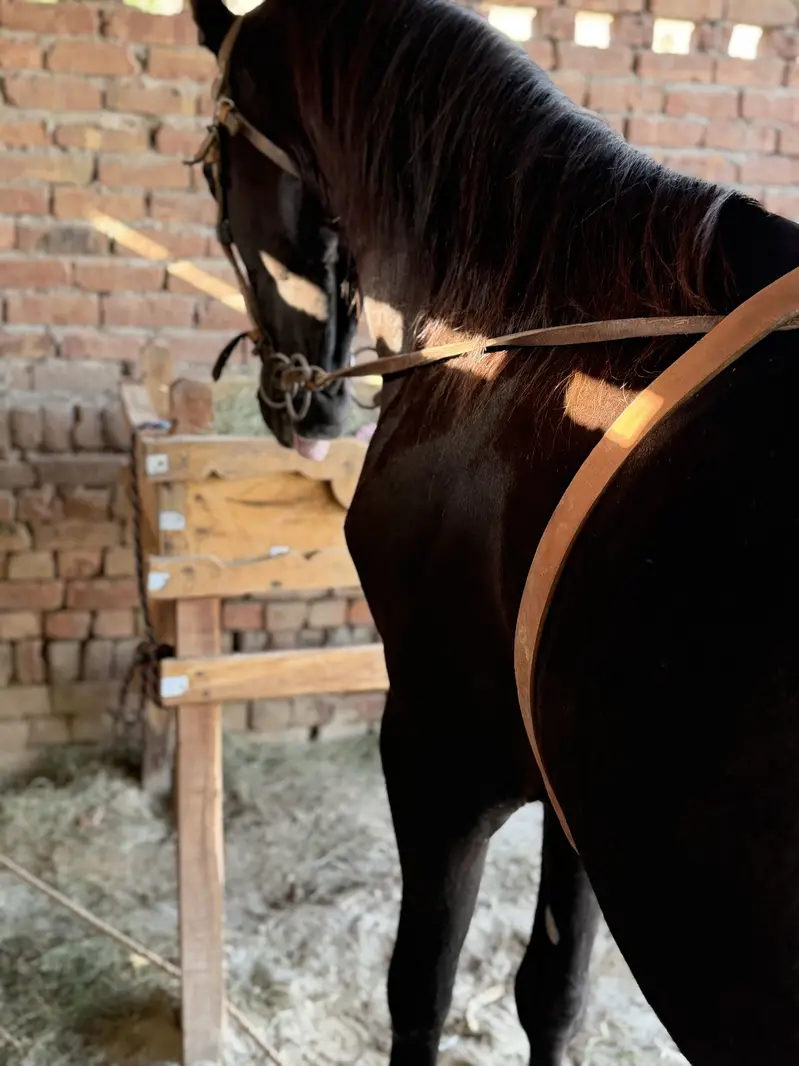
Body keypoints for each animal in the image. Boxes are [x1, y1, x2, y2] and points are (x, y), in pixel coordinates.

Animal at [189, 0, 799, 1063]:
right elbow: (552, 990)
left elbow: (419, 987)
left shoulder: (440, 752)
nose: (295, 404)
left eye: (217, 177)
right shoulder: (572, 790)